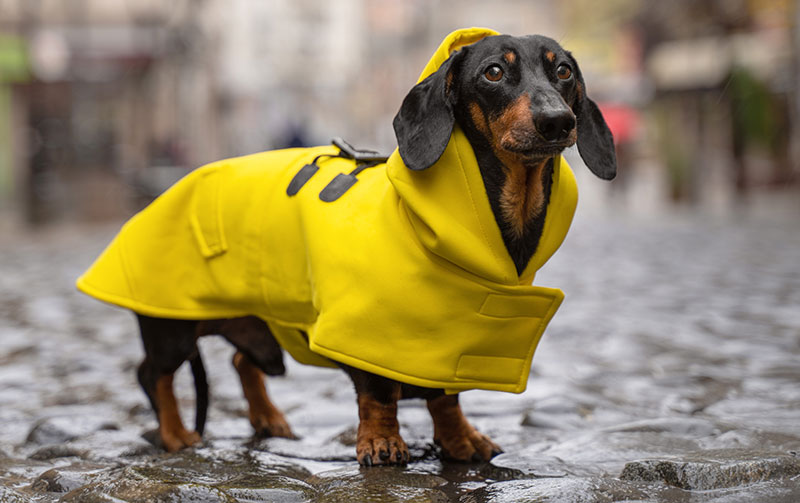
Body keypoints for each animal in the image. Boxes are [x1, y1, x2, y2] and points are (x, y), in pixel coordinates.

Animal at [78, 29, 616, 466]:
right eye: (494, 72)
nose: (557, 121)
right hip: (171, 325)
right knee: (153, 374)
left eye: (563, 71)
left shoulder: (446, 342)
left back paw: (268, 419)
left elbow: (446, 397)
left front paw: (460, 439)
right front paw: (381, 442)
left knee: (239, 361)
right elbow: (377, 394)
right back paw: (176, 435)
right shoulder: (368, 333)